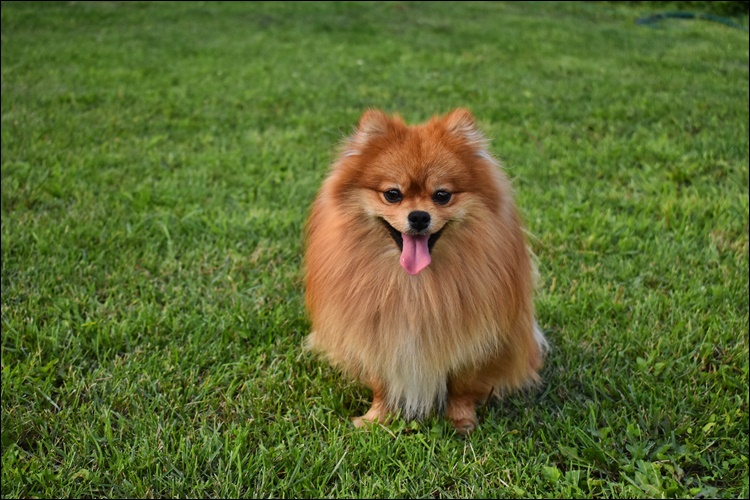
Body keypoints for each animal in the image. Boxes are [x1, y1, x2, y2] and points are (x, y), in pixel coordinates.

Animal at [302, 109, 548, 434]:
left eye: (442, 195)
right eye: (392, 194)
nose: (418, 216)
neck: (413, 284)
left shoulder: (473, 339)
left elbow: (462, 385)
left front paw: (461, 421)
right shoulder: (377, 334)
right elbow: (381, 383)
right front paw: (375, 419)